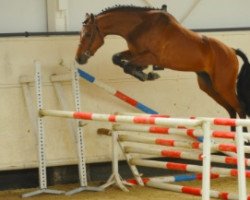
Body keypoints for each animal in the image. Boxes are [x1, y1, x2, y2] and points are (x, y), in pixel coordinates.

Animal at [75, 5, 250, 130]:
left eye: (88, 34)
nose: (79, 58)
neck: (139, 26)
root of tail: (231, 50)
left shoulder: (151, 57)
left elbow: (127, 66)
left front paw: (147, 75)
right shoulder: (135, 54)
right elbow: (117, 59)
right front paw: (143, 74)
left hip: (223, 86)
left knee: (240, 108)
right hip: (209, 87)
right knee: (231, 110)